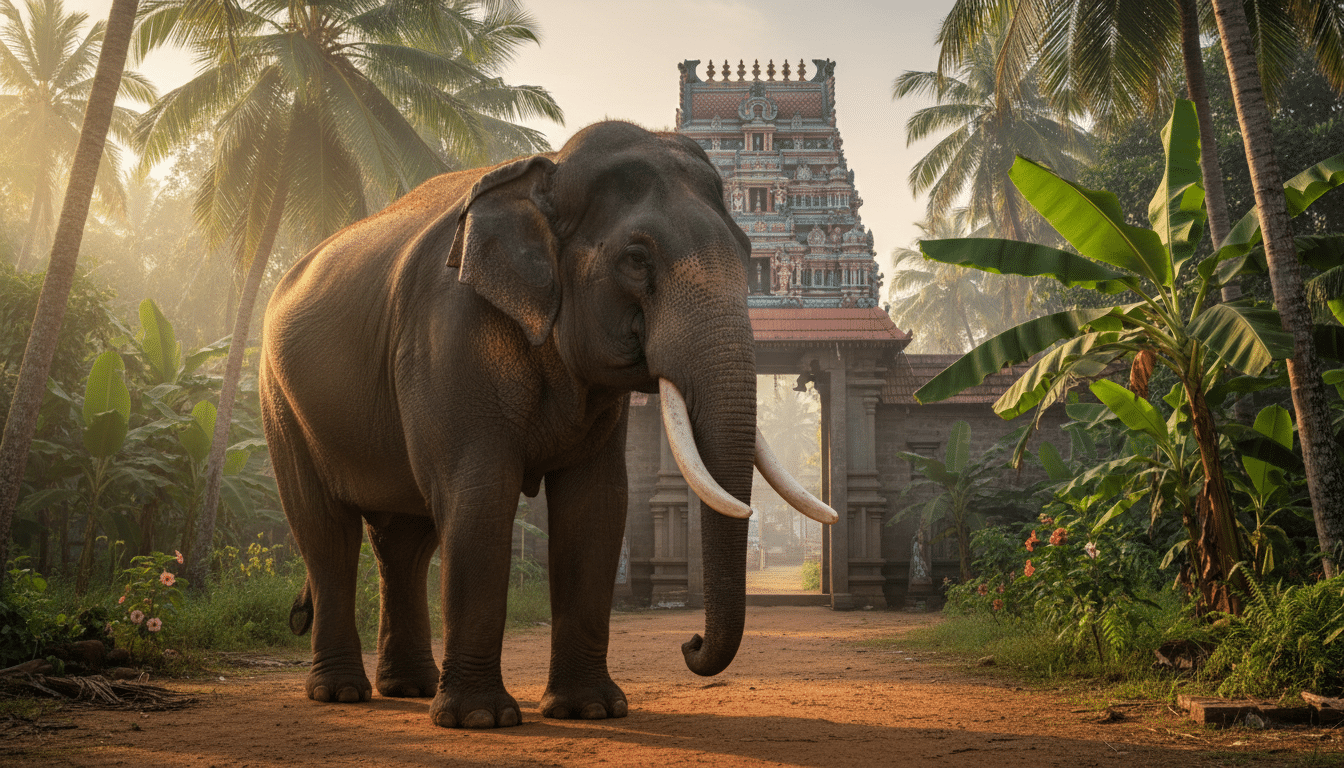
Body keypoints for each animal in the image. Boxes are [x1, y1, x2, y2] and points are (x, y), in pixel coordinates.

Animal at [259, 120, 835, 729]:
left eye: (749, 255)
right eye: (637, 258)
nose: (690, 643)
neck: (548, 169)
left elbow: (597, 504)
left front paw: (591, 710)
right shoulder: (449, 335)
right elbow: (480, 494)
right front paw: (480, 719)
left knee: (405, 541)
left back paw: (410, 688)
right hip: (280, 402)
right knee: (326, 532)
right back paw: (341, 693)